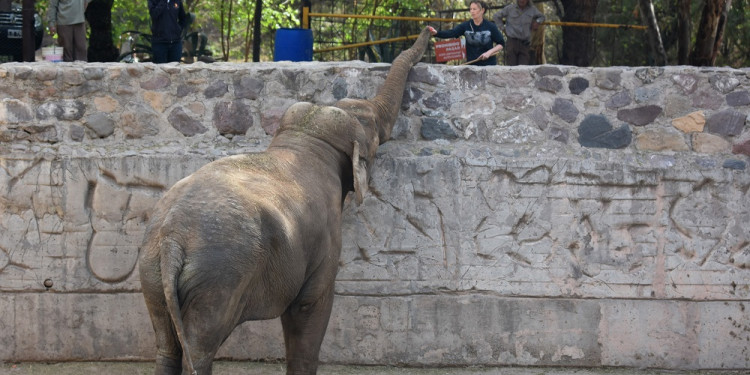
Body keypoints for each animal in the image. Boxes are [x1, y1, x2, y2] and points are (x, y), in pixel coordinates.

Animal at [140, 27, 434, 375]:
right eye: (375, 129)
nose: (431, 30)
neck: (304, 138)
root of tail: (172, 237)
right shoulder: (325, 238)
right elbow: (310, 305)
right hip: (219, 275)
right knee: (201, 344)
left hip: (152, 272)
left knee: (166, 343)